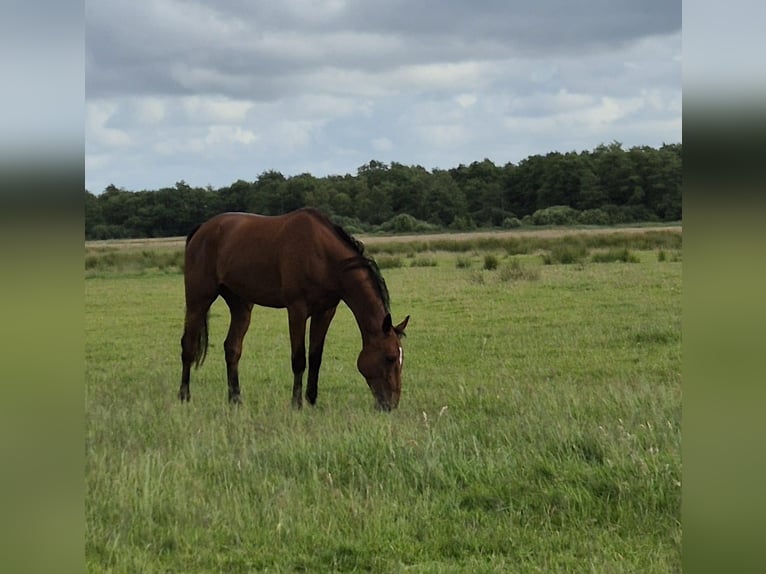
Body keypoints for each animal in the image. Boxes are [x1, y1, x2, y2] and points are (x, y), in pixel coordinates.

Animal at [180, 209, 412, 412]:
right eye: (390, 357)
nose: (391, 405)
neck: (323, 256)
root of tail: (202, 229)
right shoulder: (297, 310)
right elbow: (299, 359)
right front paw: (296, 404)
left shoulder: (325, 311)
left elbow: (315, 357)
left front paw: (312, 399)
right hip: (198, 301)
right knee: (188, 346)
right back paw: (184, 396)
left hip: (240, 305)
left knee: (232, 348)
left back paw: (235, 399)